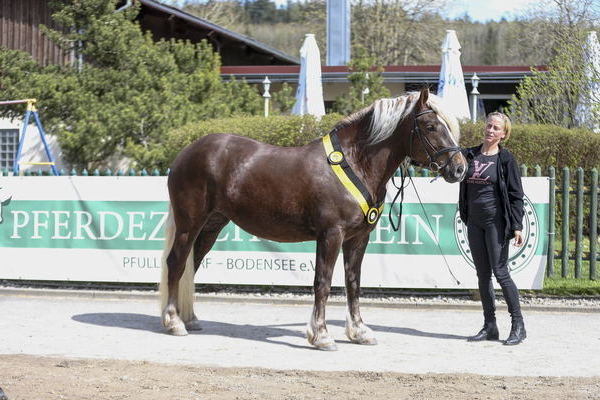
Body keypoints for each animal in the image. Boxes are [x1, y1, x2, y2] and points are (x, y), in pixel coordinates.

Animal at [158, 88, 464, 350]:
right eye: (431, 126)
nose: (459, 168)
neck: (354, 163)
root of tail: (187, 152)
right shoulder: (331, 234)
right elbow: (323, 282)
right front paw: (321, 335)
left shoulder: (358, 238)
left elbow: (353, 283)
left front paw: (359, 332)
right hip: (189, 224)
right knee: (176, 264)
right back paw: (174, 322)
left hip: (212, 225)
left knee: (192, 265)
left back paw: (190, 318)